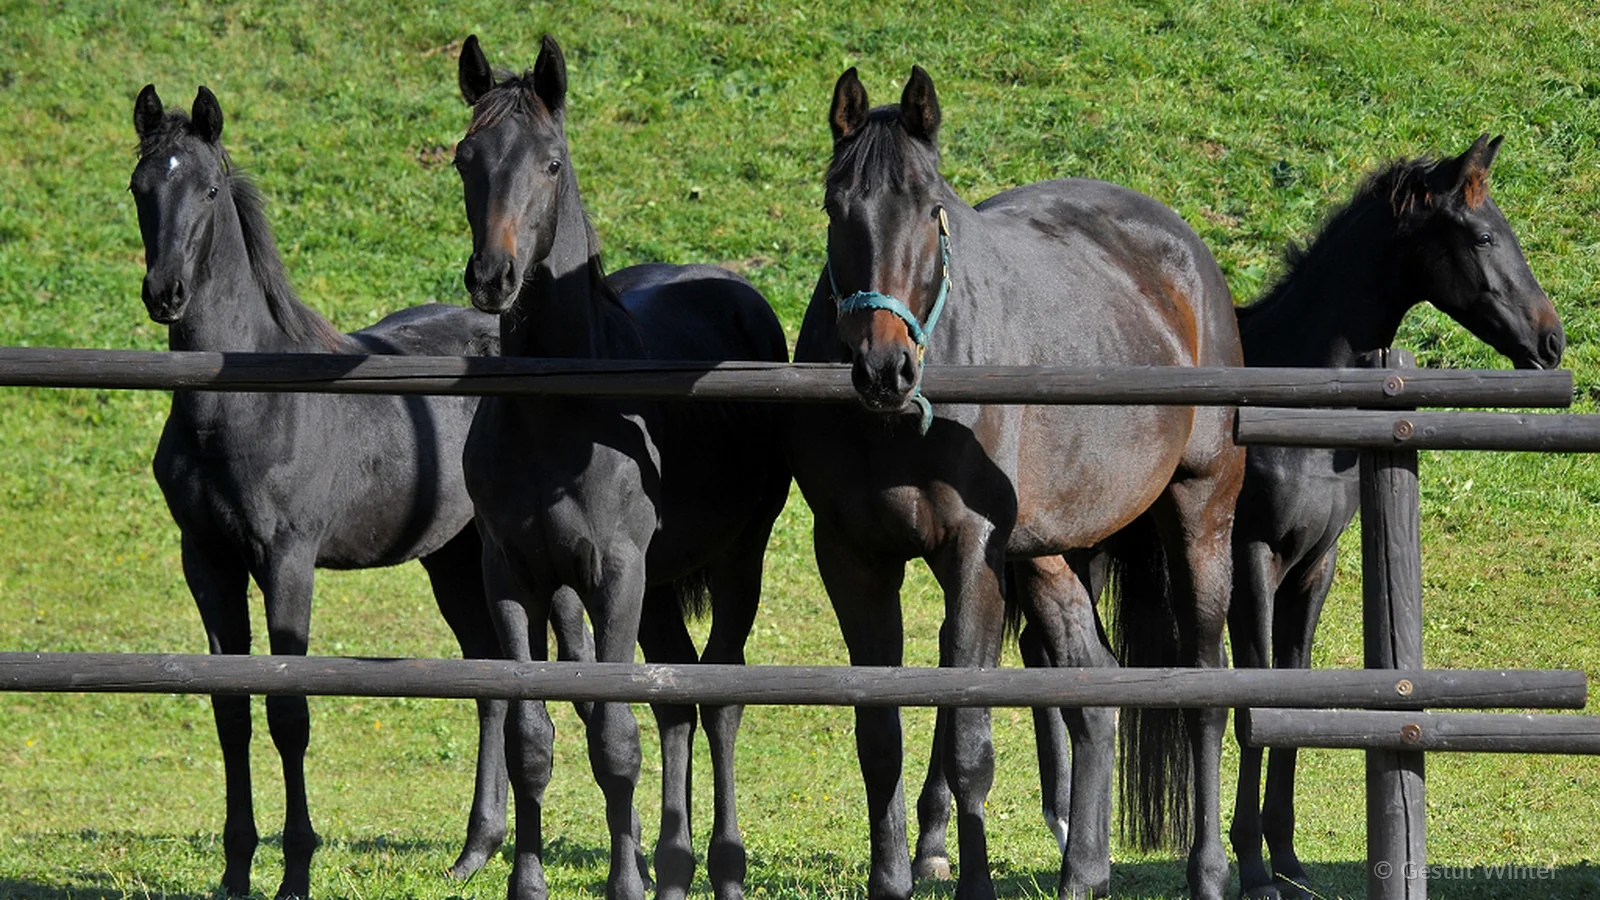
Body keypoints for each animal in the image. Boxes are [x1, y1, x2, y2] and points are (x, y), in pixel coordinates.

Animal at [130, 85, 511, 899]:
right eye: (141, 187)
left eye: (208, 190)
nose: (165, 293)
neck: (243, 402)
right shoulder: (207, 561)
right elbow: (231, 710)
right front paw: (235, 870)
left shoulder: (287, 561)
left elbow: (288, 711)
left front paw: (296, 870)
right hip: (450, 560)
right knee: (490, 677)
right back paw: (474, 852)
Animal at [452, 35, 791, 900]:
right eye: (466, 158)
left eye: (551, 162)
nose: (492, 277)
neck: (560, 414)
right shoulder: (511, 575)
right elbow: (533, 738)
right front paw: (532, 882)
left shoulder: (615, 573)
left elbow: (612, 736)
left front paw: (624, 884)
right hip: (663, 583)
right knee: (676, 704)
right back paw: (672, 865)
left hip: (735, 561)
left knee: (719, 701)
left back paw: (723, 866)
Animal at [787, 65, 1246, 900]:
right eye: (837, 208)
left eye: (931, 208)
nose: (883, 368)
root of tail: (1187, 254)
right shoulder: (852, 559)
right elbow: (880, 737)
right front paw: (891, 879)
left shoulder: (973, 556)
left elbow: (969, 745)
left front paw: (968, 880)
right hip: (1051, 551)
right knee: (1092, 684)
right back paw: (1083, 869)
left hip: (1200, 516)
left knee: (1204, 692)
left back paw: (1206, 871)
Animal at [1226, 134, 1565, 900]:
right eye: (1482, 235)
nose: (1552, 341)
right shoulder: (1250, 562)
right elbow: (1251, 702)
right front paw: (1253, 868)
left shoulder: (1312, 569)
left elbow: (1293, 697)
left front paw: (1286, 858)